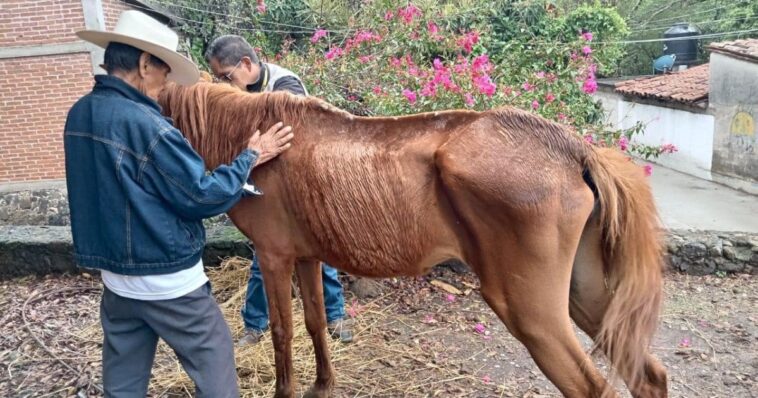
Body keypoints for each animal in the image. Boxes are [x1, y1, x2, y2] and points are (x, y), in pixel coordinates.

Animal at [157, 81, 668, 398]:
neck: (258, 137)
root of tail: (575, 149)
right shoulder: (306, 256)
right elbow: (316, 323)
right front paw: (323, 385)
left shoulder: (273, 256)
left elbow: (283, 333)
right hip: (585, 295)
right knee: (648, 375)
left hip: (532, 311)